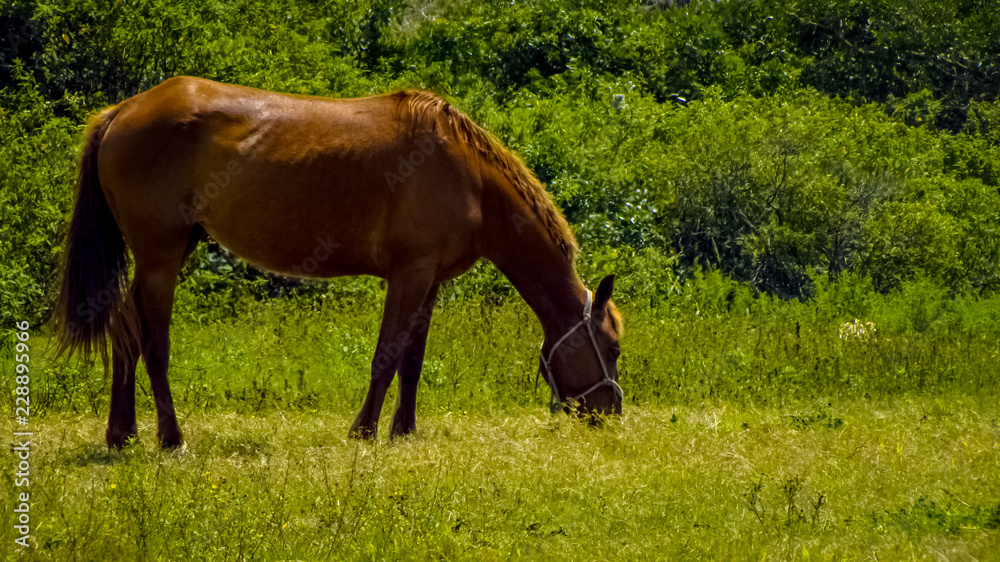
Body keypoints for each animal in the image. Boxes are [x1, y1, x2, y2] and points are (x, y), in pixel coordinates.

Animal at [56, 76, 623, 449]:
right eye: (613, 348)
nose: (611, 414)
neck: (469, 179)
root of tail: (120, 112)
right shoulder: (410, 274)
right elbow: (387, 356)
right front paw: (364, 430)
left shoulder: (431, 281)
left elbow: (413, 360)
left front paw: (403, 430)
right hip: (161, 257)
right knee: (154, 343)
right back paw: (170, 437)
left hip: (166, 253)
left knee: (126, 330)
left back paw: (121, 434)